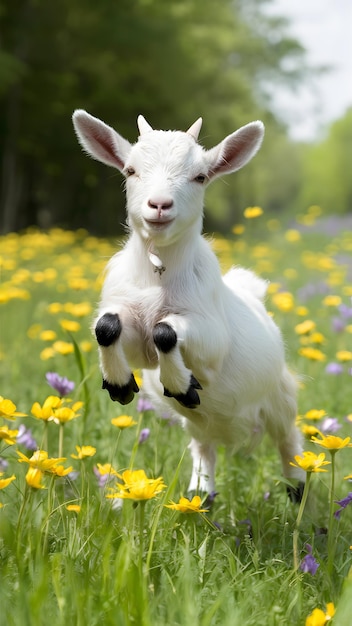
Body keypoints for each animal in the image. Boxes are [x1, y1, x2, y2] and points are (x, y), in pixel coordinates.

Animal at [72, 111, 306, 498]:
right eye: (130, 170)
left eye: (200, 176)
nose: (159, 205)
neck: (158, 278)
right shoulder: (135, 337)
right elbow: (107, 326)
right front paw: (120, 383)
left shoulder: (210, 338)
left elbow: (165, 330)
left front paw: (182, 385)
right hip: (200, 426)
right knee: (203, 451)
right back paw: (201, 494)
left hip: (280, 398)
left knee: (289, 443)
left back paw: (299, 493)